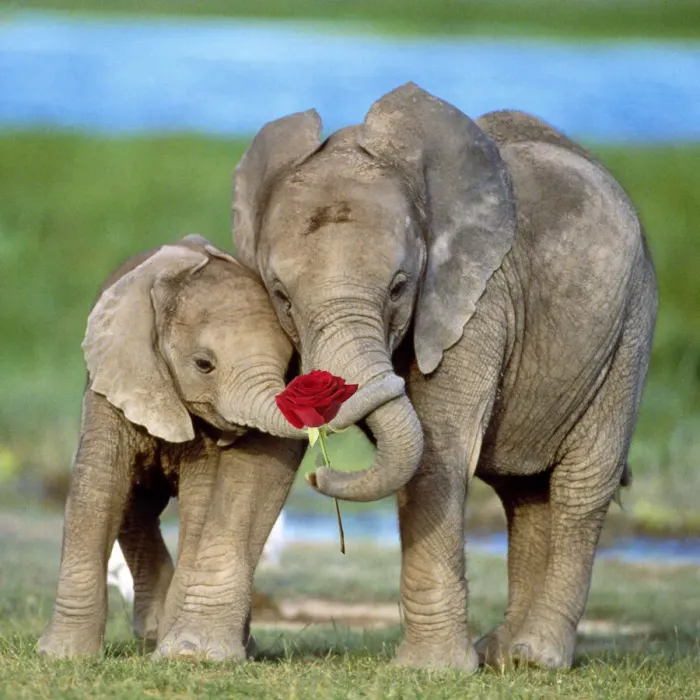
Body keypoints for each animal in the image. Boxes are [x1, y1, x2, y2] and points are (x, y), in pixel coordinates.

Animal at [37, 234, 404, 659]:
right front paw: (60, 655)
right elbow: (98, 487)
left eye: (287, 365)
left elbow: (201, 501)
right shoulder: (114, 383)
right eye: (203, 364)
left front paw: (180, 651)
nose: (318, 475)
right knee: (135, 504)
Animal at [231, 83, 658, 671]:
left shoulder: (477, 301)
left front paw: (431, 670)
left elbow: (438, 447)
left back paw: (536, 657)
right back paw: (503, 654)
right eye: (281, 296)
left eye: (399, 287)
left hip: (629, 328)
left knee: (582, 484)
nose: (319, 478)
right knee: (526, 493)